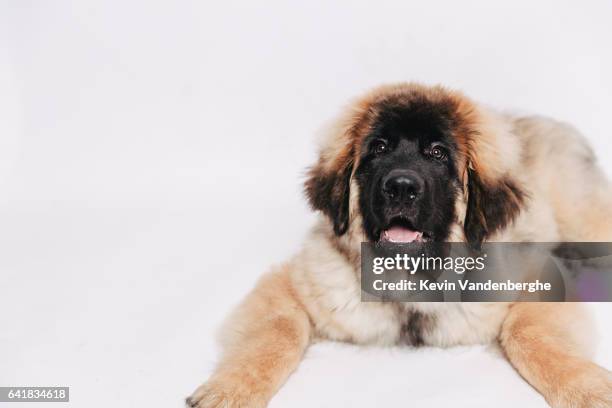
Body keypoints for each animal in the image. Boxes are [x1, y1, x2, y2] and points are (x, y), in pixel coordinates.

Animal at [188, 83, 612, 408]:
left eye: (438, 153)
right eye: (378, 149)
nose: (402, 187)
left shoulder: (538, 279)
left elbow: (527, 334)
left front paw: (588, 388)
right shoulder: (288, 285)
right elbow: (277, 334)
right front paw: (230, 388)